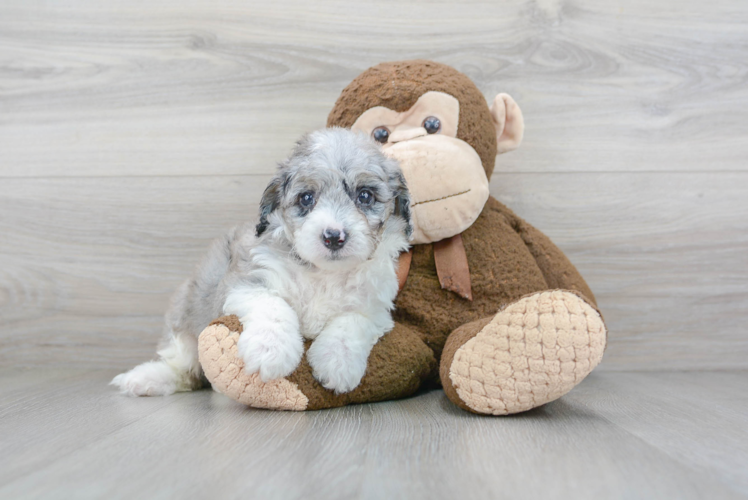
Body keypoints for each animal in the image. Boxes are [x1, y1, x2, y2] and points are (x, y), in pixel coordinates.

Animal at [112, 127, 410, 396]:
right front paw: (271, 350)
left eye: (365, 196)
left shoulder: (375, 307)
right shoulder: (245, 281)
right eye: (306, 198)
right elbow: (273, 306)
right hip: (185, 313)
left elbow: (352, 322)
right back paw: (145, 379)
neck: (323, 273)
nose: (334, 236)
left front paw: (338, 363)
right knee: (184, 366)